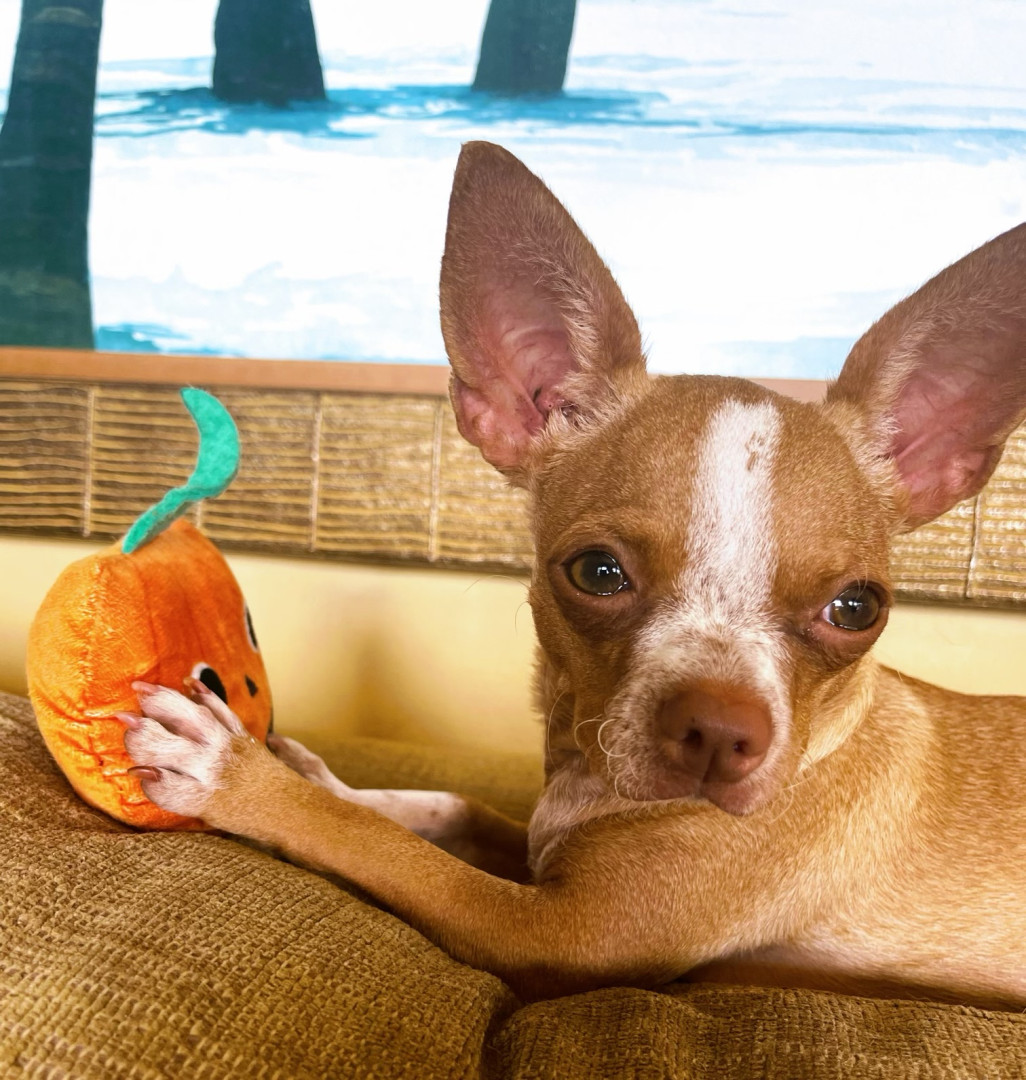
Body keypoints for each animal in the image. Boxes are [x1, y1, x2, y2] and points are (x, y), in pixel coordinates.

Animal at [120, 141, 1026, 1008]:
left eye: (857, 609)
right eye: (598, 572)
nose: (722, 732)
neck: (584, 774)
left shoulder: (553, 935)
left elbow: (388, 851)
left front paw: (237, 776)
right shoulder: (531, 853)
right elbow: (448, 807)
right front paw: (327, 779)